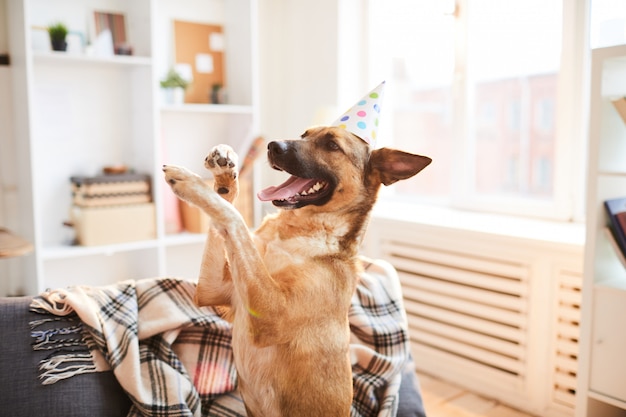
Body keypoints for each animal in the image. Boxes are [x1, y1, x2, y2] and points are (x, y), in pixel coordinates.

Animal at [162, 126, 428, 416]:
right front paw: (224, 171)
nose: (272, 146)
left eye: (332, 145)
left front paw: (190, 182)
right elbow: (225, 213)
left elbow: (234, 219)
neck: (298, 229)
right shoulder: (213, 289)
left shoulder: (271, 312)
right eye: (304, 134)